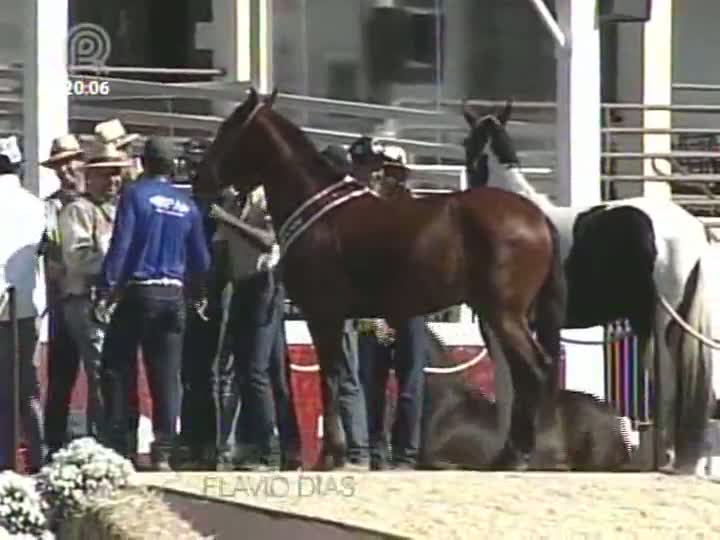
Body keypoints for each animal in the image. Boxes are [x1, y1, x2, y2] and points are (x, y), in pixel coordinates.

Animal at [194, 87, 564, 468]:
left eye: (229, 128)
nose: (198, 178)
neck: (318, 209)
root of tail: (537, 217)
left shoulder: (322, 313)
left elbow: (330, 377)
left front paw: (331, 455)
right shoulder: (338, 318)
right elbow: (340, 377)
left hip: (503, 313)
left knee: (534, 369)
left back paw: (516, 455)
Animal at [464, 101, 716, 472]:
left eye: (467, 148)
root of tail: (693, 229)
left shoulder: (497, 327)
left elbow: (509, 390)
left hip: (662, 322)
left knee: (670, 386)